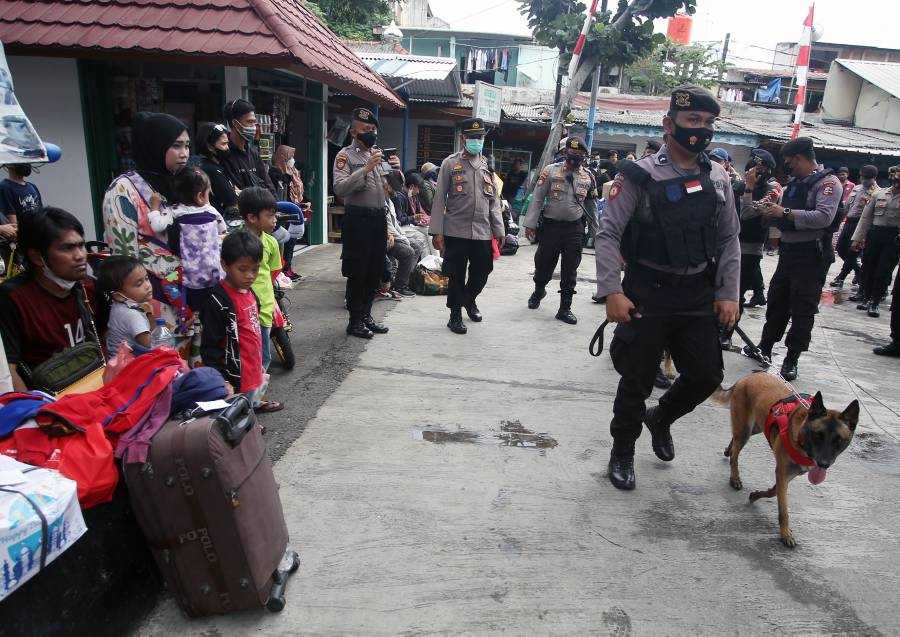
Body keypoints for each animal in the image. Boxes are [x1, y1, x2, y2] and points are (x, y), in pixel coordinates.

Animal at [712, 372, 856, 548]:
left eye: (839, 441)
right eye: (818, 435)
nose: (823, 464)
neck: (801, 439)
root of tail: (748, 377)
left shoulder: (788, 474)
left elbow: (774, 491)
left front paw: (756, 495)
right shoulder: (782, 473)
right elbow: (783, 509)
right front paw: (785, 534)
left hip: (755, 427)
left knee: (735, 439)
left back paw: (728, 450)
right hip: (746, 429)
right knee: (735, 455)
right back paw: (734, 478)